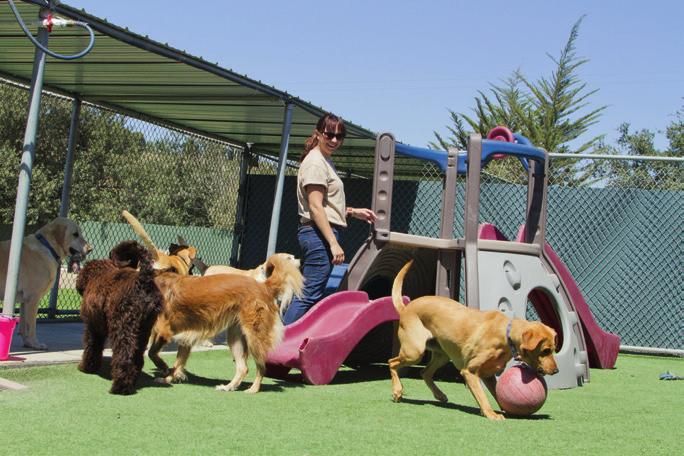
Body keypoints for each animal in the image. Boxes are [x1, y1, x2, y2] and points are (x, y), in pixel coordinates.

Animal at [0, 218, 92, 350]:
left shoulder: (24, 301)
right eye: (75, 234)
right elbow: (31, 326)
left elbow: (23, 325)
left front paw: (27, 343)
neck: (48, 246)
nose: (90, 249)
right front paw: (34, 343)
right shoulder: (33, 298)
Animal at [76, 240, 164, 394]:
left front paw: (86, 367)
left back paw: (120, 386)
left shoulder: (93, 327)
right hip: (143, 330)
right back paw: (132, 380)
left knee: (124, 356)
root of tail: (143, 280)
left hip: (123, 327)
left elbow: (91, 347)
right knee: (137, 357)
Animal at [390, 260, 556, 420]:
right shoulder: (470, 372)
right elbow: (482, 396)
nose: (556, 370)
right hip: (414, 352)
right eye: (545, 351)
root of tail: (406, 308)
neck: (505, 333)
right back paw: (398, 390)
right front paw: (491, 414)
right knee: (392, 362)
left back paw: (439, 395)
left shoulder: (489, 375)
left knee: (425, 372)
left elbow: (497, 394)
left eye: (553, 350)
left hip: (442, 355)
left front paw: (504, 410)